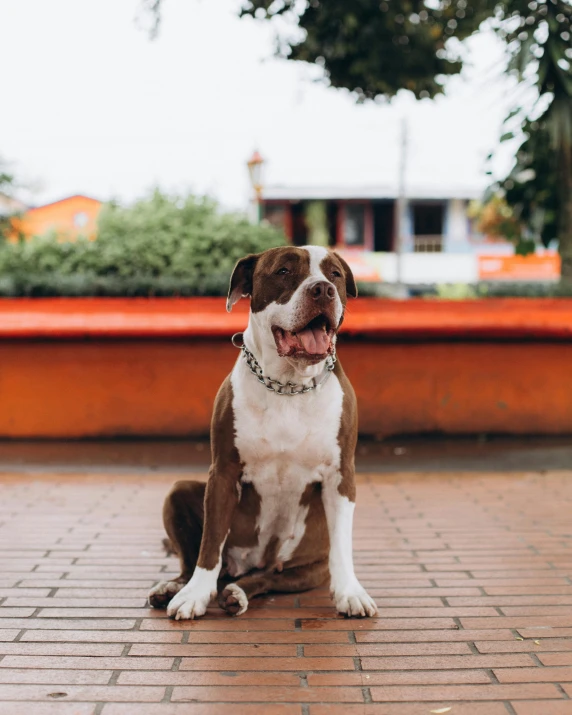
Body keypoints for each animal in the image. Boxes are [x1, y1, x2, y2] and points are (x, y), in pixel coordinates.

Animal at [150, 246, 378, 620]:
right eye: (283, 271)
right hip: (178, 492)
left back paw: (237, 593)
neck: (289, 385)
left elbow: (343, 544)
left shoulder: (341, 475)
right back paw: (175, 587)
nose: (322, 289)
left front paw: (350, 592)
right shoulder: (223, 474)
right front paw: (194, 595)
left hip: (306, 568)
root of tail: (250, 564)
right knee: (196, 560)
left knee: (267, 578)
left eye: (335, 274)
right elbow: (209, 544)